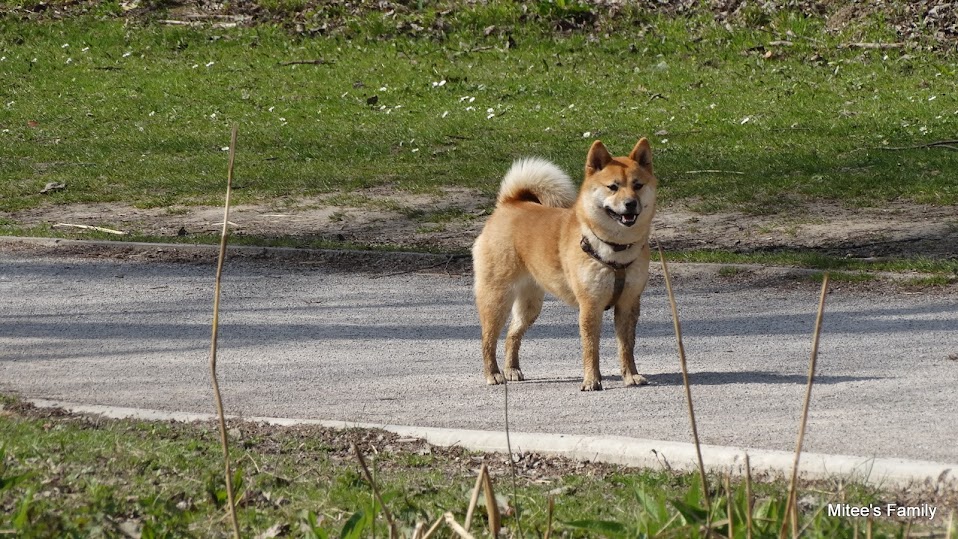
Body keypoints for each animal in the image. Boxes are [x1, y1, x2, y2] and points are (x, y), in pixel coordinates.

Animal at [474, 139, 660, 392]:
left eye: (638, 185)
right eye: (613, 187)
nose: (630, 204)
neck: (615, 251)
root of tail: (510, 203)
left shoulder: (628, 304)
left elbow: (626, 347)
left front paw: (631, 375)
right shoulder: (590, 306)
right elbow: (591, 349)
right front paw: (592, 380)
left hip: (530, 305)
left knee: (513, 334)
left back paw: (511, 369)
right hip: (497, 298)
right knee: (488, 339)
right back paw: (493, 373)